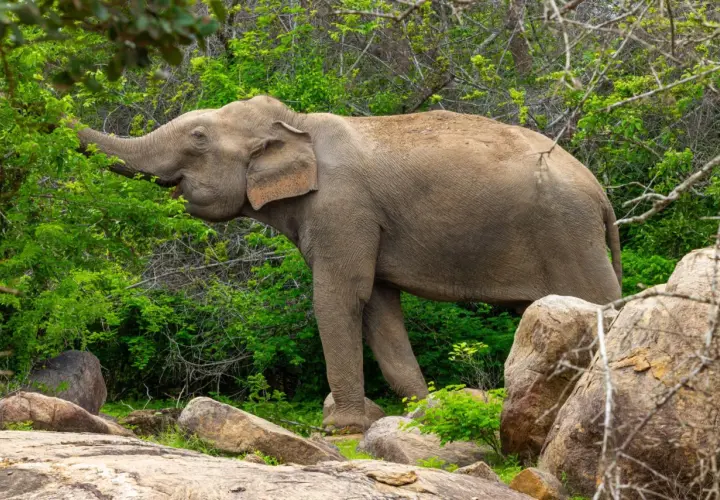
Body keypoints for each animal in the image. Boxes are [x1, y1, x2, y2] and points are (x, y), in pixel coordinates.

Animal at [76, 95, 622, 432]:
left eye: (197, 137)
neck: (299, 124)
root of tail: (601, 193)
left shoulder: (342, 208)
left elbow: (339, 298)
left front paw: (340, 427)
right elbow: (379, 307)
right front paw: (422, 412)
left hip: (569, 236)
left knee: (602, 305)